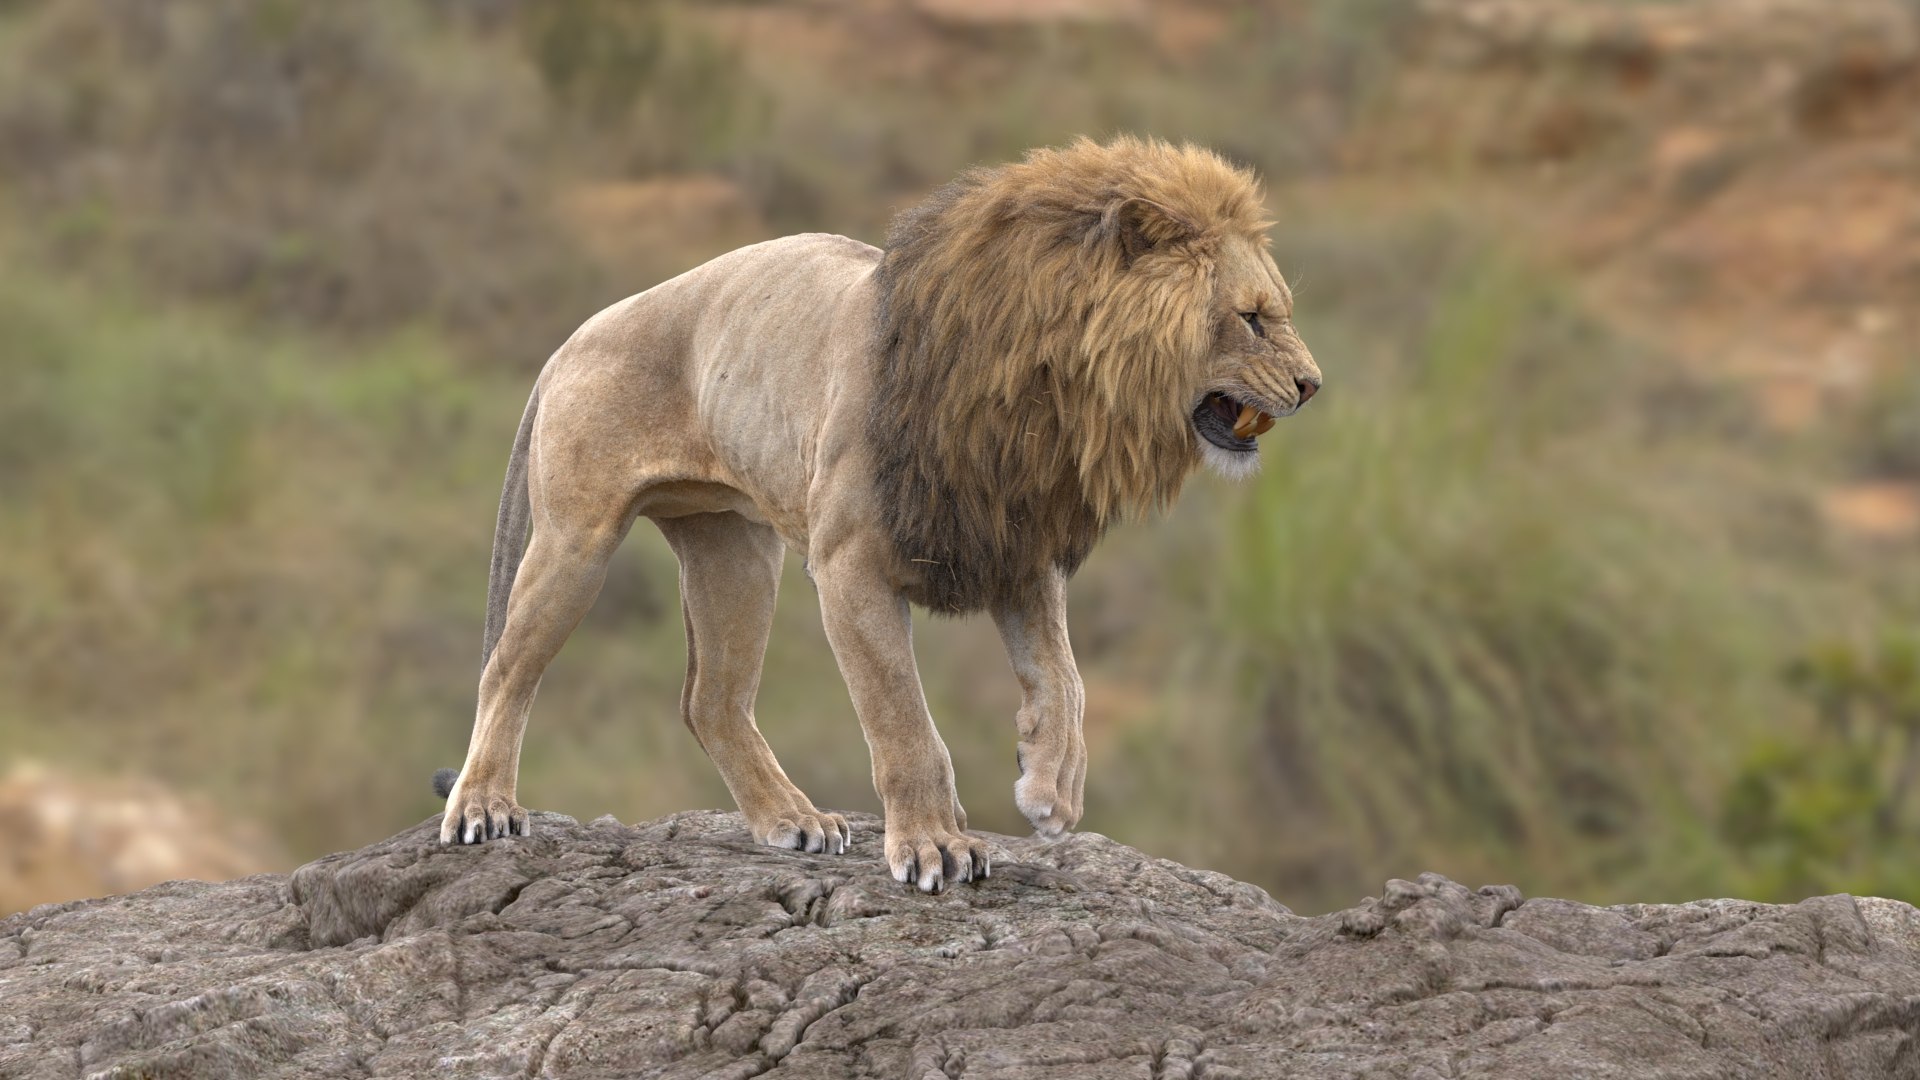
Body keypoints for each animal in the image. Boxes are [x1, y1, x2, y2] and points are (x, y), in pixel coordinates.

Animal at [435, 136, 1321, 892]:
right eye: (1252, 317)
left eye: (1275, 310)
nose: (1314, 385)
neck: (1048, 392)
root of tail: (570, 341)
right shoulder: (851, 563)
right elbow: (902, 721)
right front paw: (935, 845)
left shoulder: (1014, 541)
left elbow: (1064, 679)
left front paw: (1051, 786)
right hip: (578, 538)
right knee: (506, 669)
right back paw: (484, 806)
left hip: (735, 551)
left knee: (709, 699)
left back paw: (793, 820)